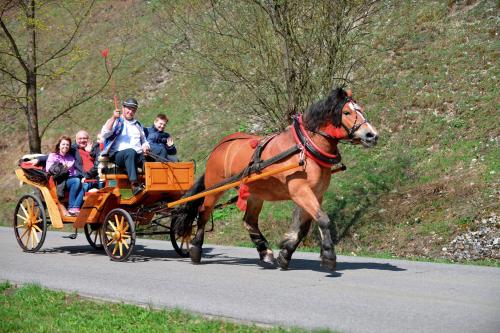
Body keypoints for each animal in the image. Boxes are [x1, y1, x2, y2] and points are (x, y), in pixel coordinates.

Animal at [176, 88, 378, 270]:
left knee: (249, 221)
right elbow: (323, 219)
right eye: (347, 112)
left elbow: (303, 228)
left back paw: (265, 252)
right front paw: (328, 255)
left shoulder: (316, 194)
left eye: (360, 109)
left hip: (255, 194)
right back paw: (195, 249)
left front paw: (285, 254)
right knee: (204, 213)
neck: (304, 147)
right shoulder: (300, 191)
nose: (372, 135)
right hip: (214, 188)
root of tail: (220, 145)